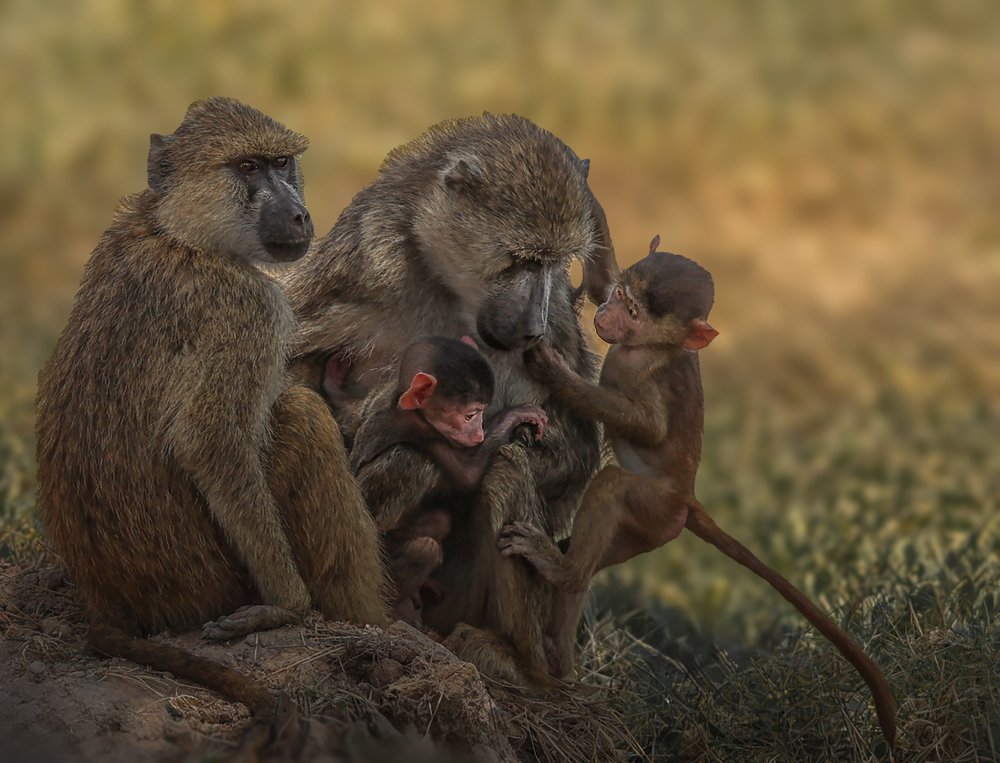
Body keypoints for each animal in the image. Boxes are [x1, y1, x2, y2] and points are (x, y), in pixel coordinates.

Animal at [34, 98, 389, 731]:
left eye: (281, 163)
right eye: (247, 167)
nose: (299, 215)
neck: (176, 231)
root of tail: (106, 598)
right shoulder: (251, 309)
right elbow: (212, 443)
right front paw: (285, 606)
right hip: (207, 579)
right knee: (302, 417)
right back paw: (369, 625)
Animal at [348, 336, 547, 624]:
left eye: (481, 412)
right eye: (469, 415)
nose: (479, 434)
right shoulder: (425, 433)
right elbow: (467, 475)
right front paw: (516, 415)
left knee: (440, 521)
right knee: (415, 466)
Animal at [498, 236, 896, 748]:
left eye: (634, 312)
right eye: (621, 294)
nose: (606, 314)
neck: (652, 346)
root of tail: (687, 502)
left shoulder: (652, 378)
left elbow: (647, 428)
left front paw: (556, 372)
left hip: (652, 507)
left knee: (611, 488)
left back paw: (563, 572)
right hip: (649, 531)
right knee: (595, 558)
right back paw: (563, 642)